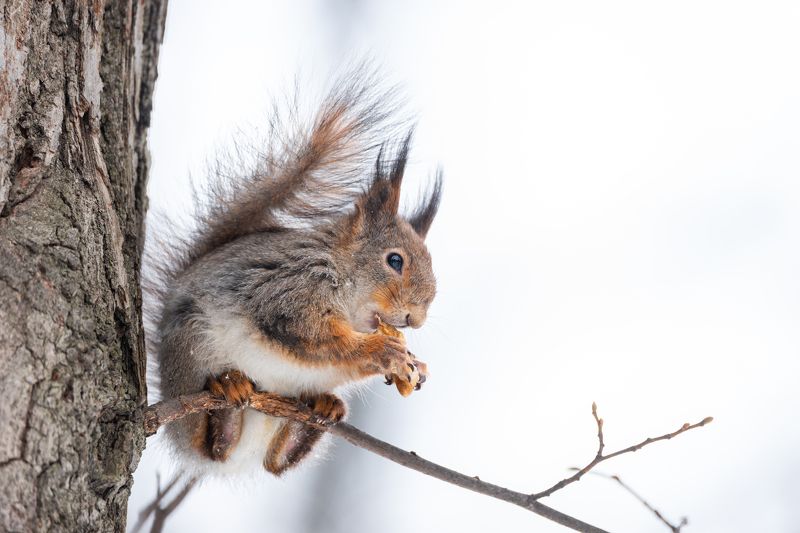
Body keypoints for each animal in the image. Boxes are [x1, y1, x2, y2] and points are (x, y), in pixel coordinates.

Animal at [146, 75, 441, 476]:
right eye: (394, 261)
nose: (417, 319)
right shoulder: (290, 291)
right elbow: (313, 336)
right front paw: (382, 349)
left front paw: (412, 362)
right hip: (191, 348)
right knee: (206, 444)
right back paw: (226, 395)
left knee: (275, 462)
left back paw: (316, 414)